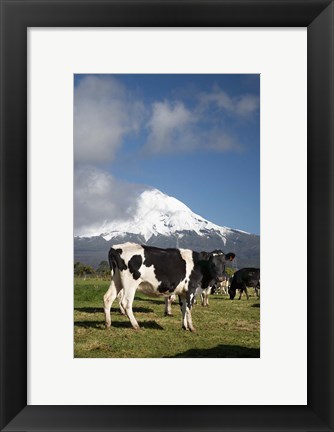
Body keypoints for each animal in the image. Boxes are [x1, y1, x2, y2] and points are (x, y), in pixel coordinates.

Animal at [103, 243, 234, 330]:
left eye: (224, 262)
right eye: (212, 263)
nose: (221, 278)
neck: (200, 266)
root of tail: (116, 248)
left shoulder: (182, 292)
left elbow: (183, 308)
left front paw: (184, 326)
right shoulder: (191, 289)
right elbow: (189, 308)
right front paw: (191, 327)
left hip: (116, 280)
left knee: (108, 298)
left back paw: (108, 323)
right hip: (130, 283)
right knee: (126, 302)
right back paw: (136, 325)